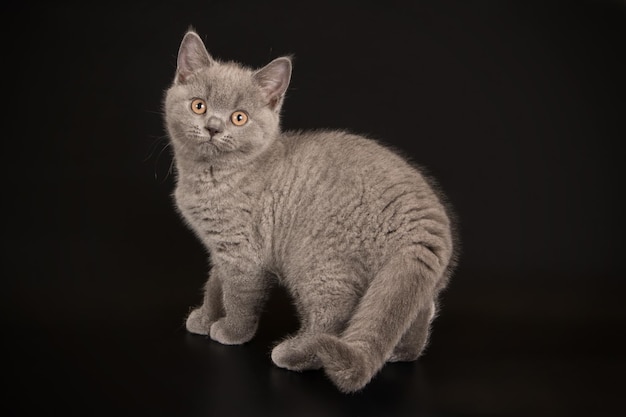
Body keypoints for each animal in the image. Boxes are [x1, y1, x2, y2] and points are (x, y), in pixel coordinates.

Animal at [165, 30, 458, 392]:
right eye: (199, 105)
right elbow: (215, 284)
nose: (214, 127)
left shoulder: (242, 252)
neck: (211, 176)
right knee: (415, 312)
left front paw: (231, 331)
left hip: (316, 260)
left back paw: (294, 353)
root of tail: (425, 221)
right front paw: (205, 317)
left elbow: (239, 294)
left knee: (334, 315)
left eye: (239, 117)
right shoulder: (220, 248)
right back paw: (400, 352)